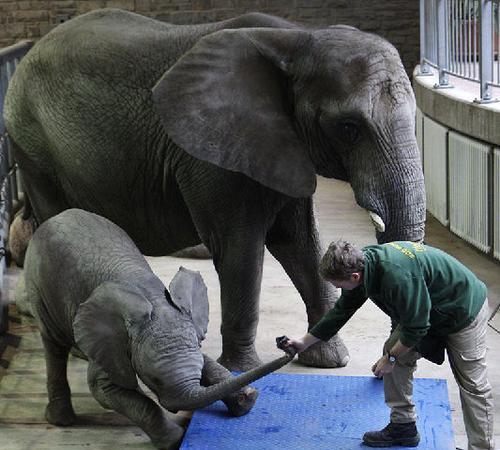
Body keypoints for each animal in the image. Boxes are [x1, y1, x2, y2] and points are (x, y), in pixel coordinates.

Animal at [3, 8, 426, 370]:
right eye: (349, 127)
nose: (387, 359)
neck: (298, 38)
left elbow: (300, 242)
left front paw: (329, 360)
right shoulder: (210, 155)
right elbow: (240, 249)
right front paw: (241, 370)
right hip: (32, 144)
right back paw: (80, 350)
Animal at [20, 210, 292, 450]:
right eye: (154, 379)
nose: (284, 342)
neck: (151, 297)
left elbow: (207, 361)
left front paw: (247, 400)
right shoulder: (113, 338)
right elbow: (105, 389)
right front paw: (175, 439)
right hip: (37, 283)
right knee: (53, 343)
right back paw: (62, 419)